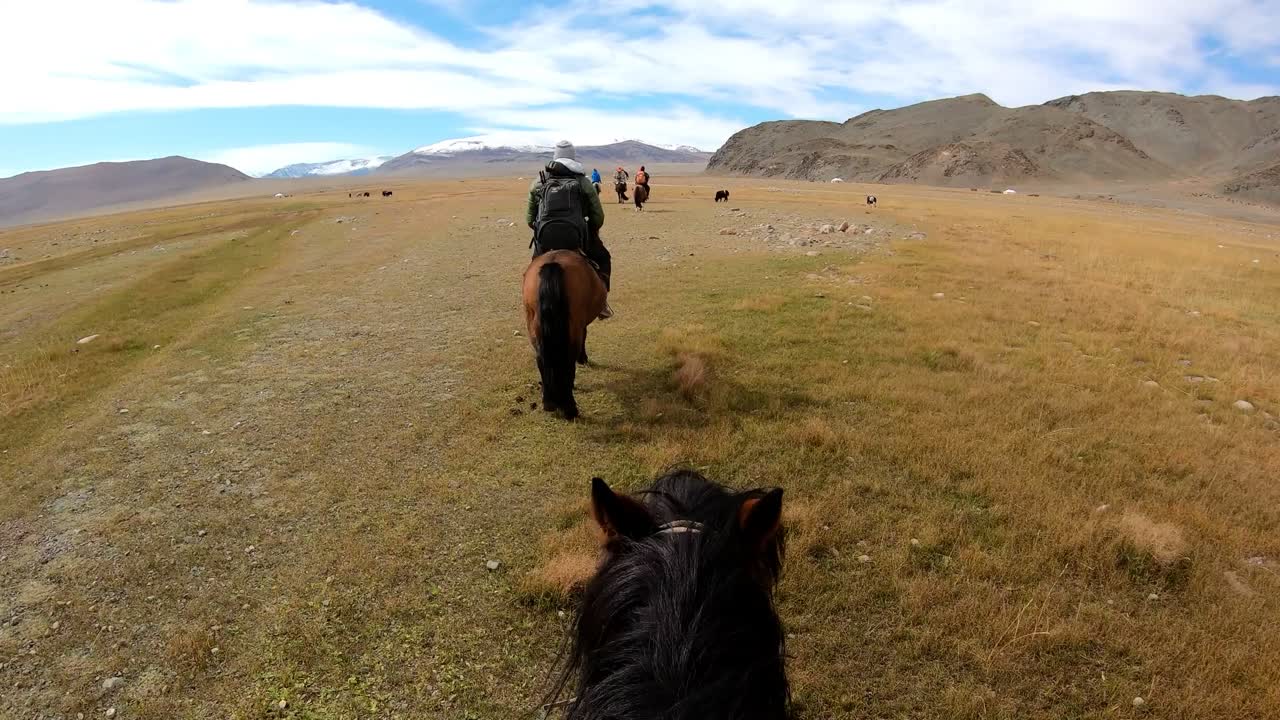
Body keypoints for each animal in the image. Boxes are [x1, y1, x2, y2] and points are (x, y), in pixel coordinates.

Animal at [521, 250, 607, 420]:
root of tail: (552, 264)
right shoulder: (580, 324)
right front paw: (583, 358)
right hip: (573, 326)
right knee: (568, 360)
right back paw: (569, 408)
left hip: (534, 325)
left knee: (541, 358)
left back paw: (549, 402)